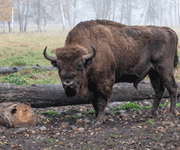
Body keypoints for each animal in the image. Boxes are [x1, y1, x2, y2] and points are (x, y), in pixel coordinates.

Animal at [43, 19, 179, 125]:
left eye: (80, 65)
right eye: (59, 66)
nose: (68, 84)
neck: (90, 58)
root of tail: (168, 31)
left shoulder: (104, 83)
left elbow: (101, 102)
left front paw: (99, 120)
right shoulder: (92, 87)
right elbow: (94, 102)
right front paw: (97, 117)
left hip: (164, 69)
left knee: (172, 88)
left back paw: (170, 114)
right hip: (153, 72)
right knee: (159, 91)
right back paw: (150, 113)